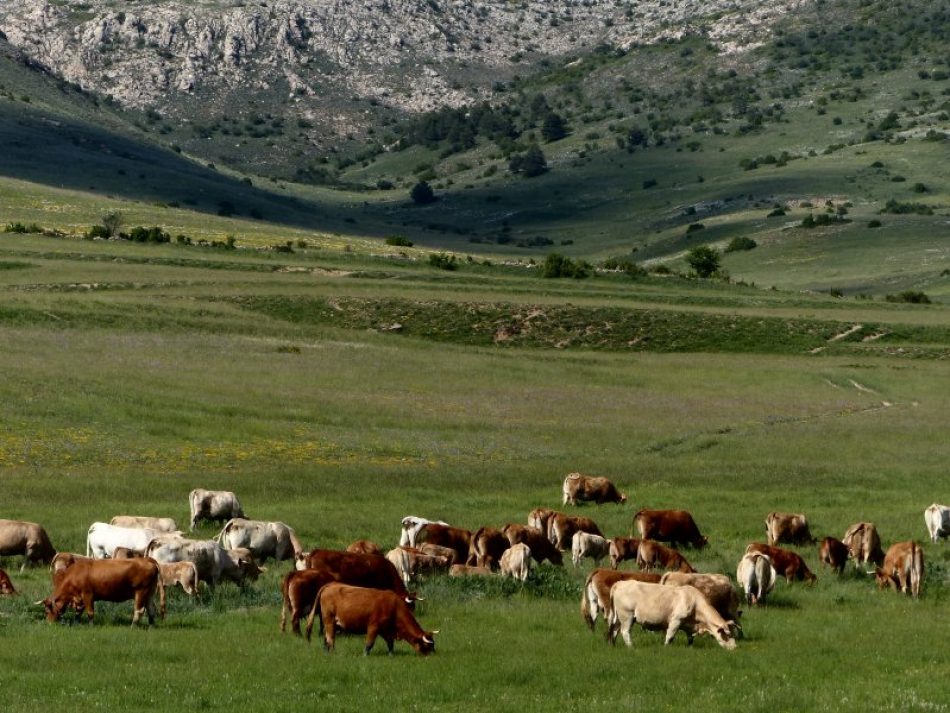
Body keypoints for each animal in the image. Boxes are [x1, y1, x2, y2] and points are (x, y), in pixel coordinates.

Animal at [304, 580, 438, 652]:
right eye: (428, 645)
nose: (433, 654)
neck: (394, 606)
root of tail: (330, 585)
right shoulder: (373, 627)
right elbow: (369, 644)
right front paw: (365, 655)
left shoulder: (385, 630)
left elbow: (390, 643)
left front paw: (391, 655)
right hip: (329, 621)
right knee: (330, 639)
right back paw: (333, 652)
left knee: (326, 639)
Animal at [608, 580, 740, 648]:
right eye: (727, 635)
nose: (734, 648)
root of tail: (620, 583)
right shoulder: (676, 620)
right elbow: (670, 636)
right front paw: (666, 647)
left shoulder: (688, 625)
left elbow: (690, 638)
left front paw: (690, 647)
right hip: (627, 616)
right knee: (625, 632)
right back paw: (631, 647)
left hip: (619, 618)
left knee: (614, 631)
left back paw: (613, 646)